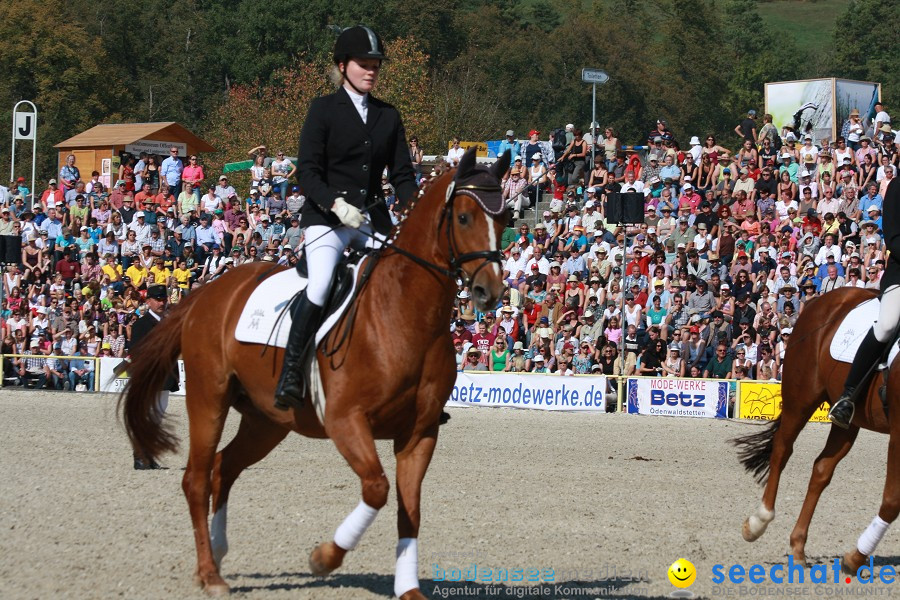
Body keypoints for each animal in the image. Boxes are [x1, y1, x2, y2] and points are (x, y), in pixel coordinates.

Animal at [122, 148, 510, 596]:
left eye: (505, 218)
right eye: (463, 217)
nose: (490, 292)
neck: (403, 312)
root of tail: (205, 292)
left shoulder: (420, 433)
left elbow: (409, 509)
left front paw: (408, 588)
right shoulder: (345, 421)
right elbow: (377, 489)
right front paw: (323, 558)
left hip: (266, 422)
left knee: (225, 467)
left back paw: (217, 555)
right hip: (208, 399)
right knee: (197, 478)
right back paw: (210, 574)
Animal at [736, 288, 896, 576]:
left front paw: (855, 557)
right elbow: (891, 499)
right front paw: (854, 559)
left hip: (848, 422)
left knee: (821, 468)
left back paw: (798, 546)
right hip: (801, 399)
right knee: (782, 451)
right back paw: (758, 522)